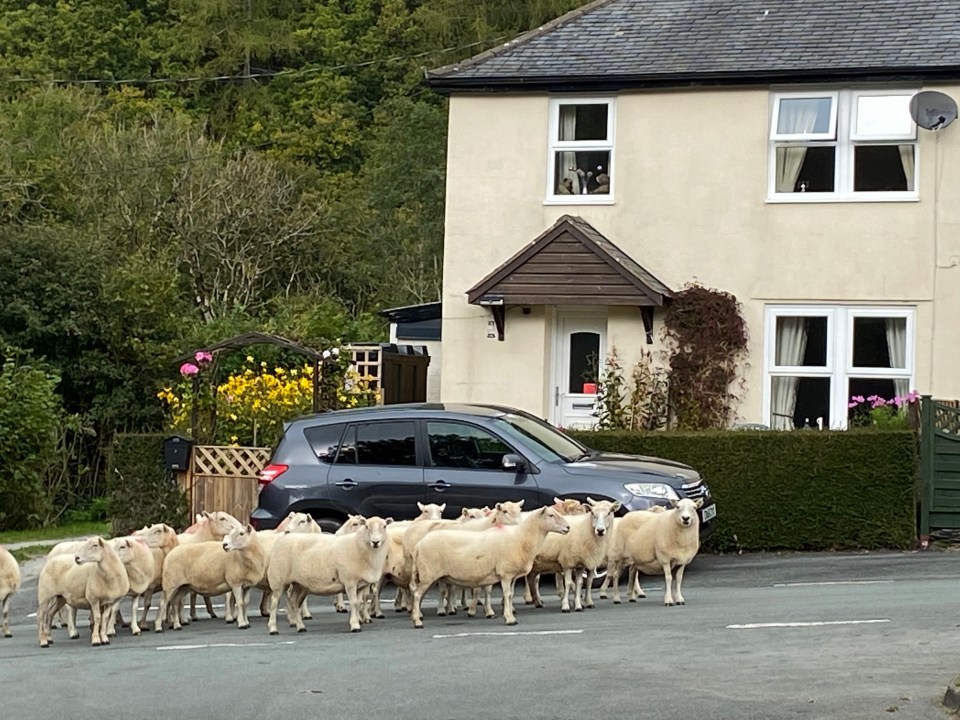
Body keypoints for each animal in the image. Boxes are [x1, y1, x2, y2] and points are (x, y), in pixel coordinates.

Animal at [264, 516, 392, 632]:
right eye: (366, 526)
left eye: (384, 526)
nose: (375, 542)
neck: (359, 546)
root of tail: (283, 537)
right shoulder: (350, 582)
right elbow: (354, 603)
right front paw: (355, 625)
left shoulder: (360, 584)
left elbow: (359, 602)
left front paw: (359, 620)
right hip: (278, 580)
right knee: (274, 603)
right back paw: (273, 628)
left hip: (299, 584)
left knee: (294, 602)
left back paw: (300, 627)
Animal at [406, 506, 568, 632]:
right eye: (551, 515)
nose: (568, 528)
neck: (522, 539)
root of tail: (419, 545)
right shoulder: (505, 574)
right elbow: (507, 595)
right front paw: (509, 619)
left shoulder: (512, 576)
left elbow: (510, 595)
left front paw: (510, 614)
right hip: (428, 574)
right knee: (417, 595)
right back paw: (417, 621)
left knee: (417, 594)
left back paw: (416, 617)